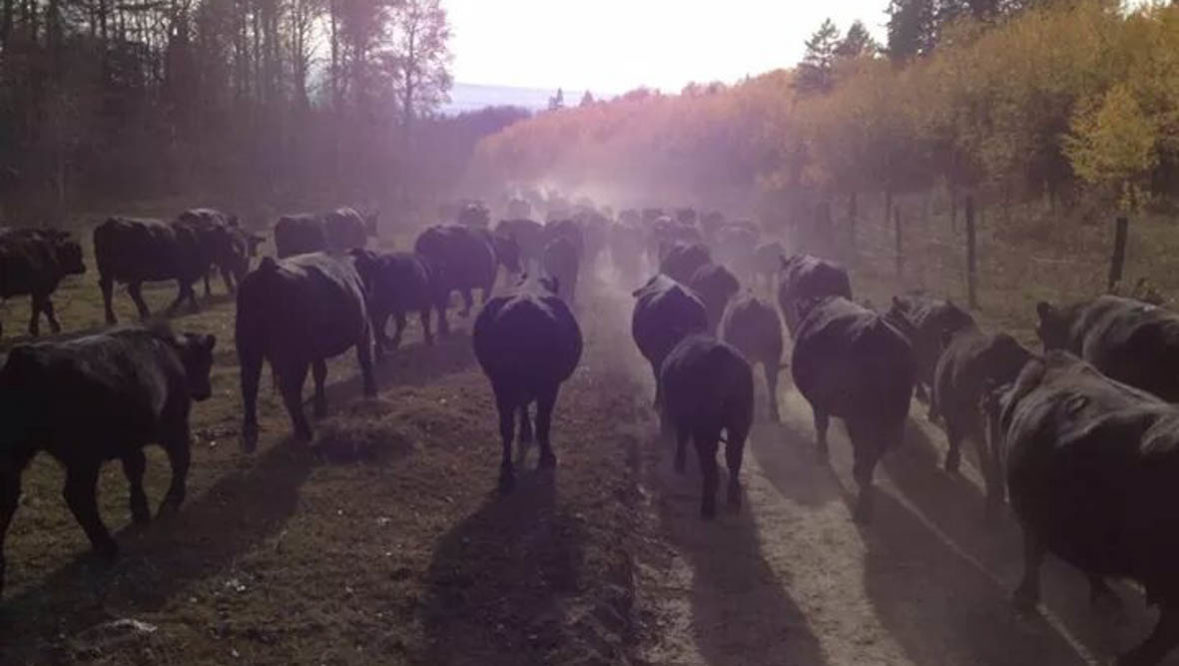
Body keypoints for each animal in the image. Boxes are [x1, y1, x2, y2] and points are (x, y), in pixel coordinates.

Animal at [0, 325, 215, 597]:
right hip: (83, 459)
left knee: (6, 499)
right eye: (206, 360)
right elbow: (180, 461)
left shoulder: (130, 443)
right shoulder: (174, 425)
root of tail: (25, 358)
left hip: (14, 459)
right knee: (77, 495)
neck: (170, 351)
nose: (206, 392)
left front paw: (140, 510)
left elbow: (135, 470)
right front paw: (170, 502)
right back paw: (107, 546)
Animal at [236, 252, 377, 451]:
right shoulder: (364, 329)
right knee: (290, 390)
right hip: (294, 357)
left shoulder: (316, 350)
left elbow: (320, 373)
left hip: (249, 350)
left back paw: (250, 429)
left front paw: (320, 407)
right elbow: (365, 360)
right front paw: (371, 393)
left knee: (249, 385)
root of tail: (267, 269)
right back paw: (303, 431)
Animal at [473, 276, 582, 492]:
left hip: (501, 386)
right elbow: (542, 421)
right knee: (539, 422)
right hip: (540, 386)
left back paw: (507, 471)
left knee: (506, 427)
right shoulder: (551, 387)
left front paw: (525, 431)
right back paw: (541, 457)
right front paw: (546, 455)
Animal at [661, 334, 754, 518]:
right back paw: (733, 500)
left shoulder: (683, 419)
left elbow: (682, 439)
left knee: (709, 464)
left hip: (706, 429)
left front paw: (679, 464)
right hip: (740, 424)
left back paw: (707, 508)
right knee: (733, 457)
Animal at [792, 296, 916, 522]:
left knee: (864, 456)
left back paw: (863, 505)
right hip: (891, 420)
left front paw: (821, 454)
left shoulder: (819, 404)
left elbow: (821, 426)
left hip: (861, 420)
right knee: (873, 455)